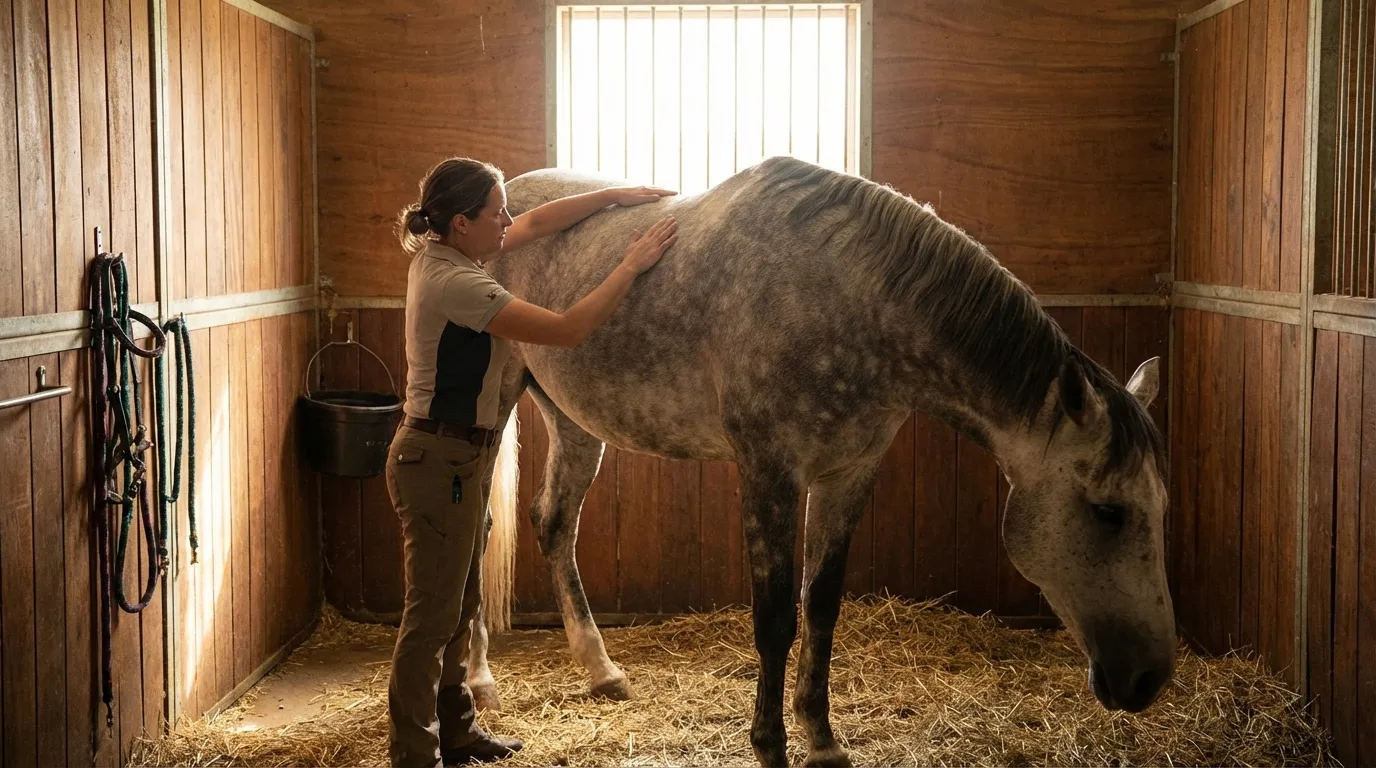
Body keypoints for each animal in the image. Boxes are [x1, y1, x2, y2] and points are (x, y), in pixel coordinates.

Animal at [465, 156, 1174, 767]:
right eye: (1108, 510)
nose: (1150, 678)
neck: (849, 299)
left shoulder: (848, 474)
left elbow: (822, 607)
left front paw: (823, 739)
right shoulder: (770, 472)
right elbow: (776, 617)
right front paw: (770, 745)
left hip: (573, 421)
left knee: (554, 524)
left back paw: (602, 670)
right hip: (491, 412)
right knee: (478, 537)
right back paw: (480, 684)